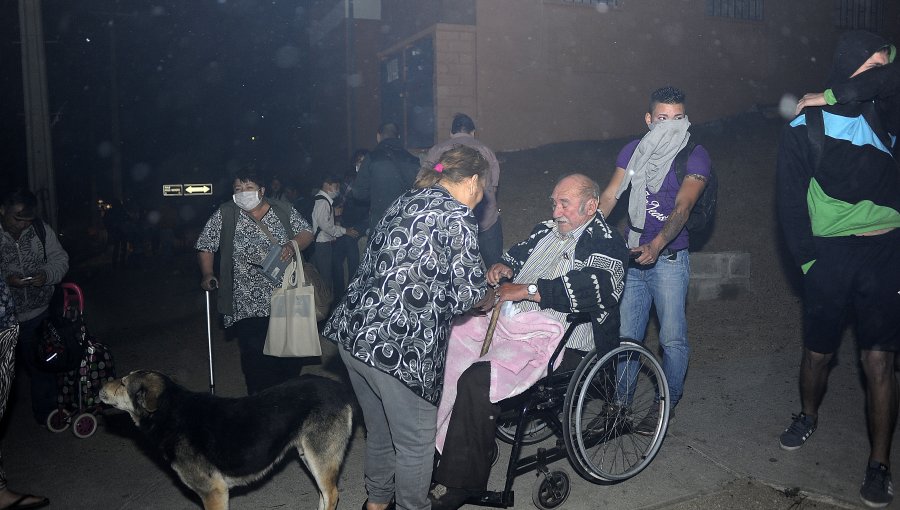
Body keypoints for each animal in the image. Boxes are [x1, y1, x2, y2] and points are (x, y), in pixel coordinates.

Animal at [99, 370, 352, 510]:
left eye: (123, 383)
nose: (100, 386)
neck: (171, 412)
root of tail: (339, 387)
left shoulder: (213, 492)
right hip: (309, 456)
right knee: (324, 494)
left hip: (319, 458)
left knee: (332, 495)